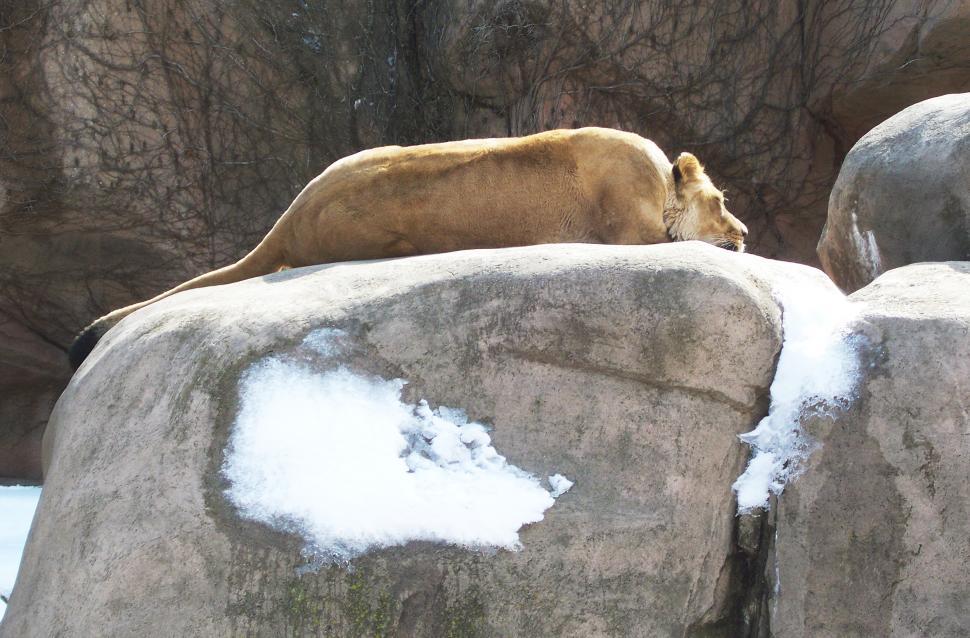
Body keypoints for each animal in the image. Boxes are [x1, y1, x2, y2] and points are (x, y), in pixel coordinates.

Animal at [69, 126, 747, 368]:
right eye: (721, 200)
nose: (744, 234)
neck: (662, 182)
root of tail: (293, 211)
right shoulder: (626, 222)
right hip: (370, 232)